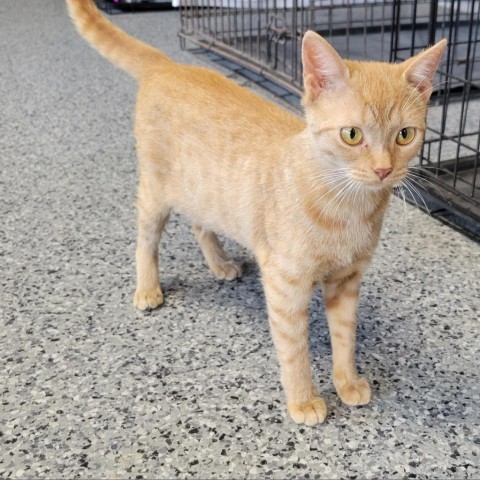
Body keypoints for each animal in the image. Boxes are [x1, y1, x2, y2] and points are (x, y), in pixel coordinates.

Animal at [66, 0, 446, 428]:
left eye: (405, 135)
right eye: (352, 135)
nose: (383, 170)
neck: (348, 208)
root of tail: (169, 65)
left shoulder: (347, 281)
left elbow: (345, 337)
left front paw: (346, 381)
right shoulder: (285, 284)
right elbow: (294, 349)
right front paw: (303, 399)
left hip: (203, 191)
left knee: (200, 223)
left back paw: (219, 263)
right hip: (156, 190)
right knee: (146, 238)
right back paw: (147, 287)